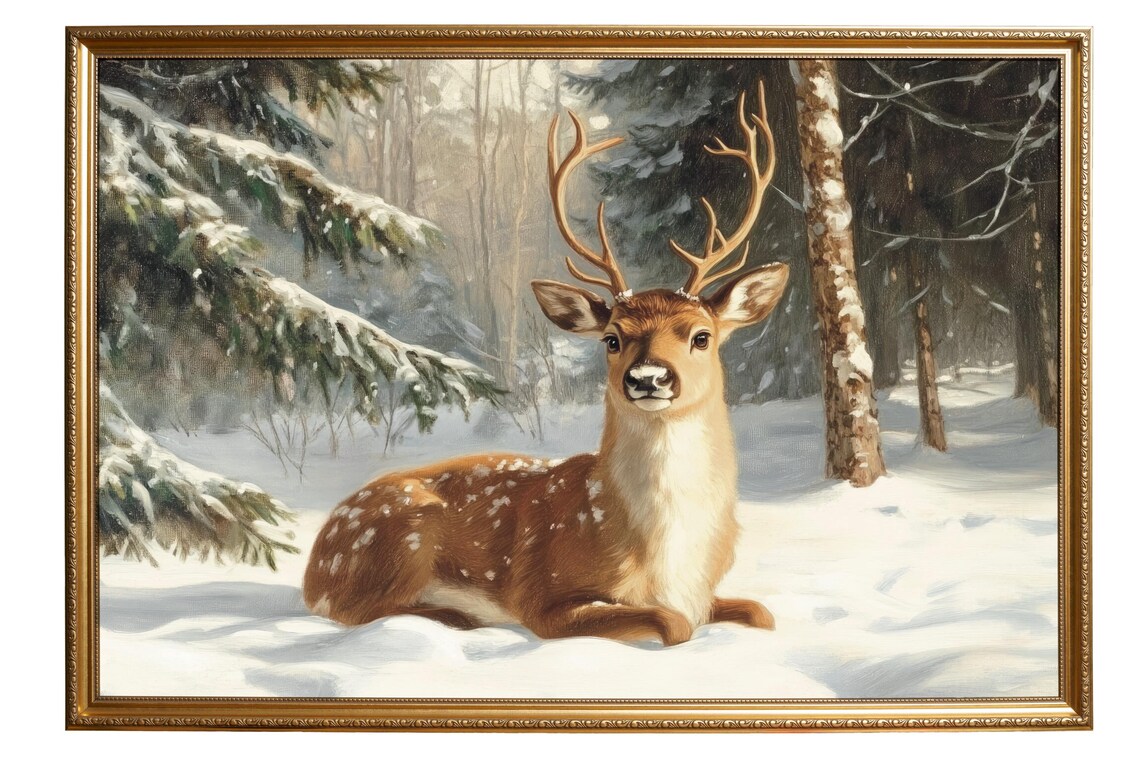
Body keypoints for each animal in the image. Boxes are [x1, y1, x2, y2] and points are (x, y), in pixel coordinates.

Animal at [303, 82, 788, 646]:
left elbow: (761, 611)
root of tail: (314, 561)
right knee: (360, 609)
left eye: (701, 336)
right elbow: (673, 624)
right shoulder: (543, 598)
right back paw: (458, 614)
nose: (647, 378)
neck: (666, 558)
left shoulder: (706, 593)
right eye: (612, 339)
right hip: (400, 540)